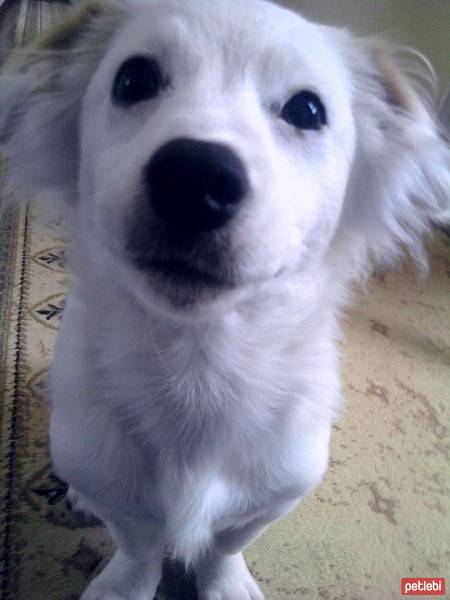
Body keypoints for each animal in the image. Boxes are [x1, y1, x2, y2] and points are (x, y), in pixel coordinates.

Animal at [0, 0, 448, 596]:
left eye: (307, 109)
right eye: (133, 79)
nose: (195, 176)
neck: (199, 366)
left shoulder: (277, 492)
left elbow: (224, 544)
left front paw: (224, 583)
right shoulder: (112, 484)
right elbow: (138, 545)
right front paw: (124, 585)